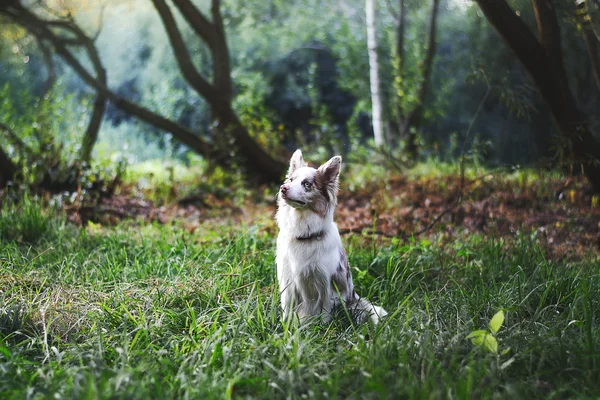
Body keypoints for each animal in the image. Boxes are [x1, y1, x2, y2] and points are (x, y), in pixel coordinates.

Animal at [274, 150, 386, 324]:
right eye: (291, 180)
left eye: (307, 184)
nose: (283, 188)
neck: (305, 234)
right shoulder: (288, 281)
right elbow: (287, 310)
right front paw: (285, 326)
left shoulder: (325, 284)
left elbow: (324, 313)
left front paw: (322, 328)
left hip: (354, 305)